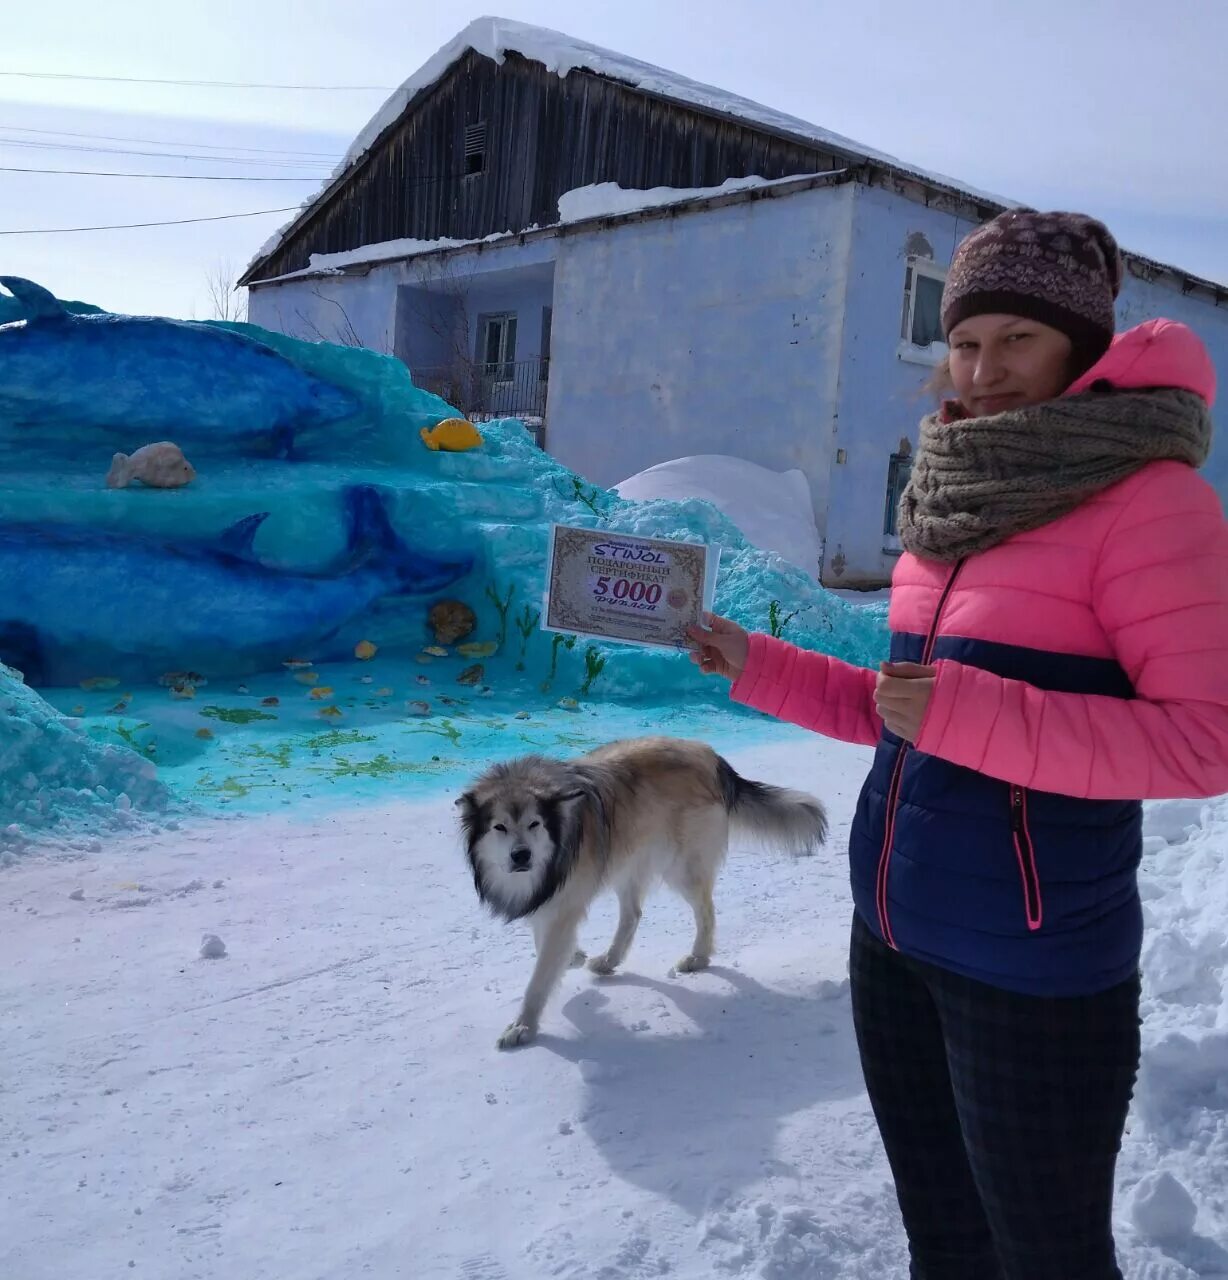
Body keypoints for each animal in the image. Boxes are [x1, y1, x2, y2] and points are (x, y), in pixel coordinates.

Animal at [455, 737, 829, 1044]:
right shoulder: (548, 900)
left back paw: (698, 957)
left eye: (534, 824)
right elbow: (548, 951)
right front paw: (573, 957)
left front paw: (523, 1026)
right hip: (629, 859)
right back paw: (609, 960)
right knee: (633, 914)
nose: (522, 856)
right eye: (499, 827)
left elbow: (539, 978)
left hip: (681, 868)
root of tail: (711, 757)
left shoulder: (562, 904)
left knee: (705, 910)